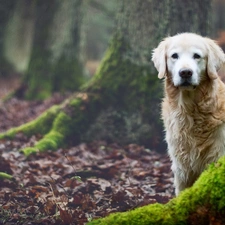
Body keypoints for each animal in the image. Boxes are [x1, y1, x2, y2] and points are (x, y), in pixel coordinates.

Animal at [151, 32, 225, 196]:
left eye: (197, 56)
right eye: (174, 56)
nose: (185, 72)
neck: (190, 109)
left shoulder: (218, 152)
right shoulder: (181, 165)